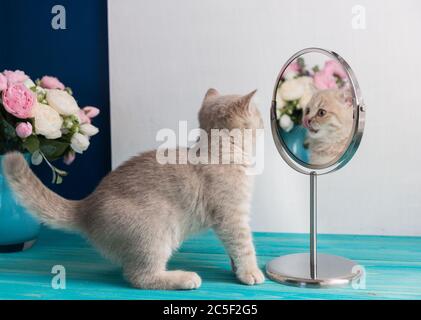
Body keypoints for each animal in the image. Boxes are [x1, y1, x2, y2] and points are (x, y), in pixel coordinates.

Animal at [3, 87, 264, 290]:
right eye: (259, 116)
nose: (262, 123)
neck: (220, 153)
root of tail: (86, 206)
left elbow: (234, 250)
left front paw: (236, 270)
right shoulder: (232, 217)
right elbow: (244, 246)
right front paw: (250, 272)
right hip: (155, 234)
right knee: (140, 276)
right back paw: (184, 278)